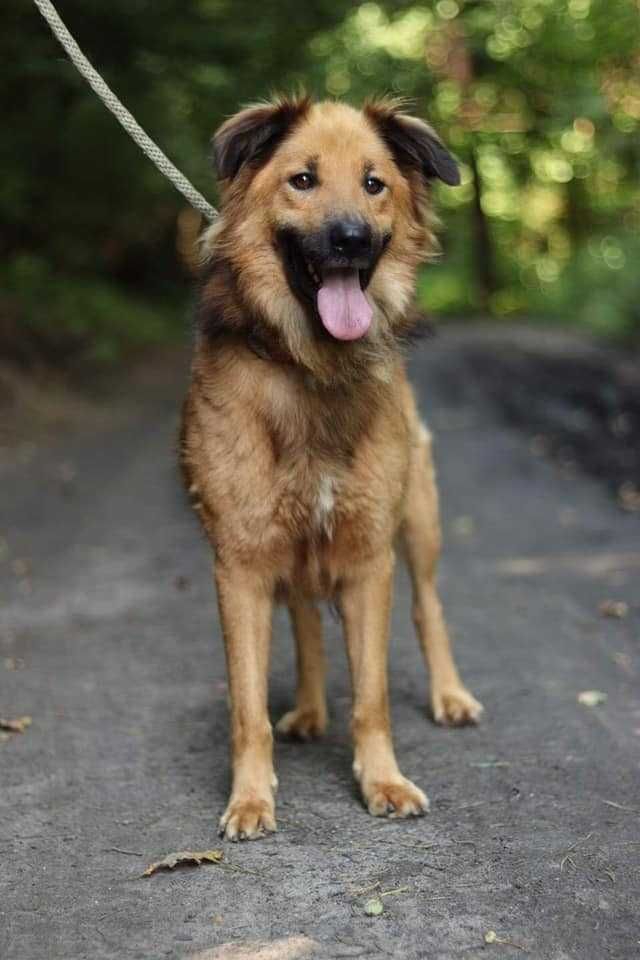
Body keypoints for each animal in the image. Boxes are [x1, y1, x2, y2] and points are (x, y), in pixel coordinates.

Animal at [180, 94, 480, 836]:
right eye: (303, 180)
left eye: (374, 184)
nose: (349, 239)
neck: (312, 366)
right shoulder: (242, 563)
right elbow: (248, 705)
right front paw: (250, 797)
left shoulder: (370, 557)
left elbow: (372, 696)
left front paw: (383, 782)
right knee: (307, 623)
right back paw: (311, 711)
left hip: (418, 524)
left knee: (429, 608)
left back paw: (451, 696)